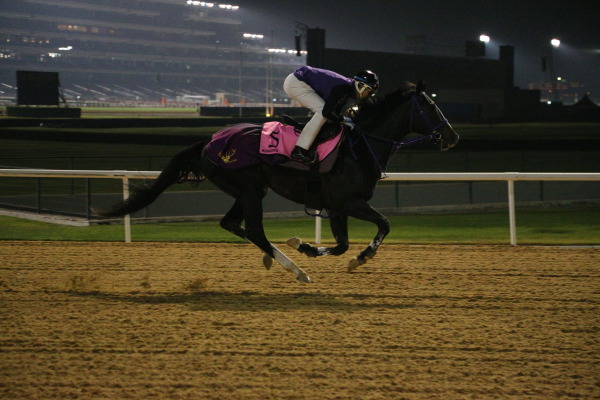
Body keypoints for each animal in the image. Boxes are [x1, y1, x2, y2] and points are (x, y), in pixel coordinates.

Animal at [94, 81, 460, 282]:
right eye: (430, 106)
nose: (452, 136)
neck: (358, 146)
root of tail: (208, 141)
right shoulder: (347, 202)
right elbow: (383, 225)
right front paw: (360, 257)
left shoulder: (337, 207)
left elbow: (342, 244)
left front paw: (307, 246)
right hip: (249, 189)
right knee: (254, 229)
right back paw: (295, 269)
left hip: (247, 190)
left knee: (232, 224)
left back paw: (274, 258)